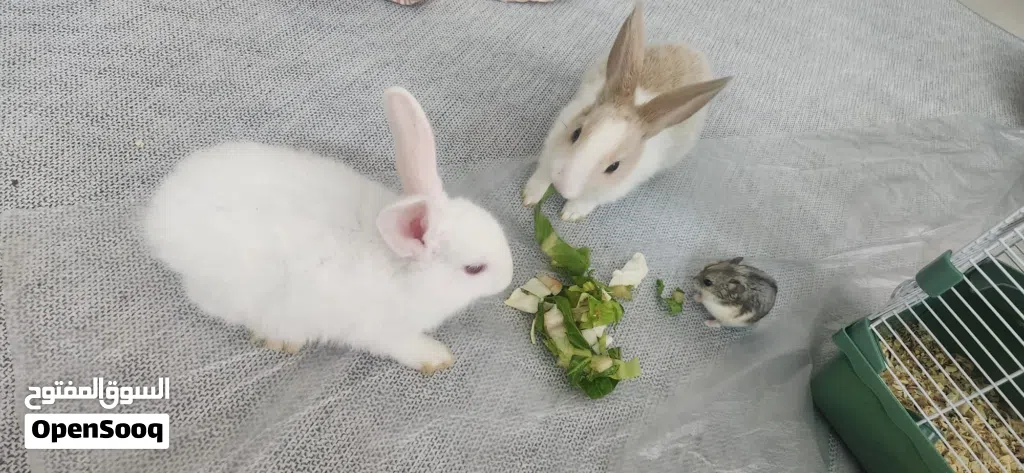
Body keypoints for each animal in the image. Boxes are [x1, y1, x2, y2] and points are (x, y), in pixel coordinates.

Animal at [141, 87, 515, 375]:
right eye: (474, 269)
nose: (509, 278)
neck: (399, 264)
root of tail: (160, 218)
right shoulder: (382, 330)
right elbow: (403, 346)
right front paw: (436, 357)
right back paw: (280, 338)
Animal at [522, 0, 731, 221]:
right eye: (575, 133)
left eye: (614, 167)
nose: (562, 186)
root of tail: (694, 51)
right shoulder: (551, 148)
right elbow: (542, 174)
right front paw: (530, 196)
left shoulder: (614, 189)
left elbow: (589, 199)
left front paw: (571, 214)